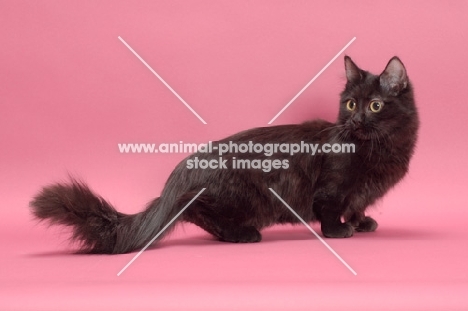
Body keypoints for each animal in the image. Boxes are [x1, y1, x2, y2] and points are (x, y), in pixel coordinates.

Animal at [29, 56, 418, 254]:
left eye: (375, 105)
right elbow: (331, 208)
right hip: (243, 197)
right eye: (351, 104)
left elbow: (358, 205)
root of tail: (183, 169)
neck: (380, 147)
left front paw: (362, 222)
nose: (355, 119)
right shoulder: (332, 188)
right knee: (198, 212)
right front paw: (339, 230)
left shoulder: (360, 193)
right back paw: (243, 234)